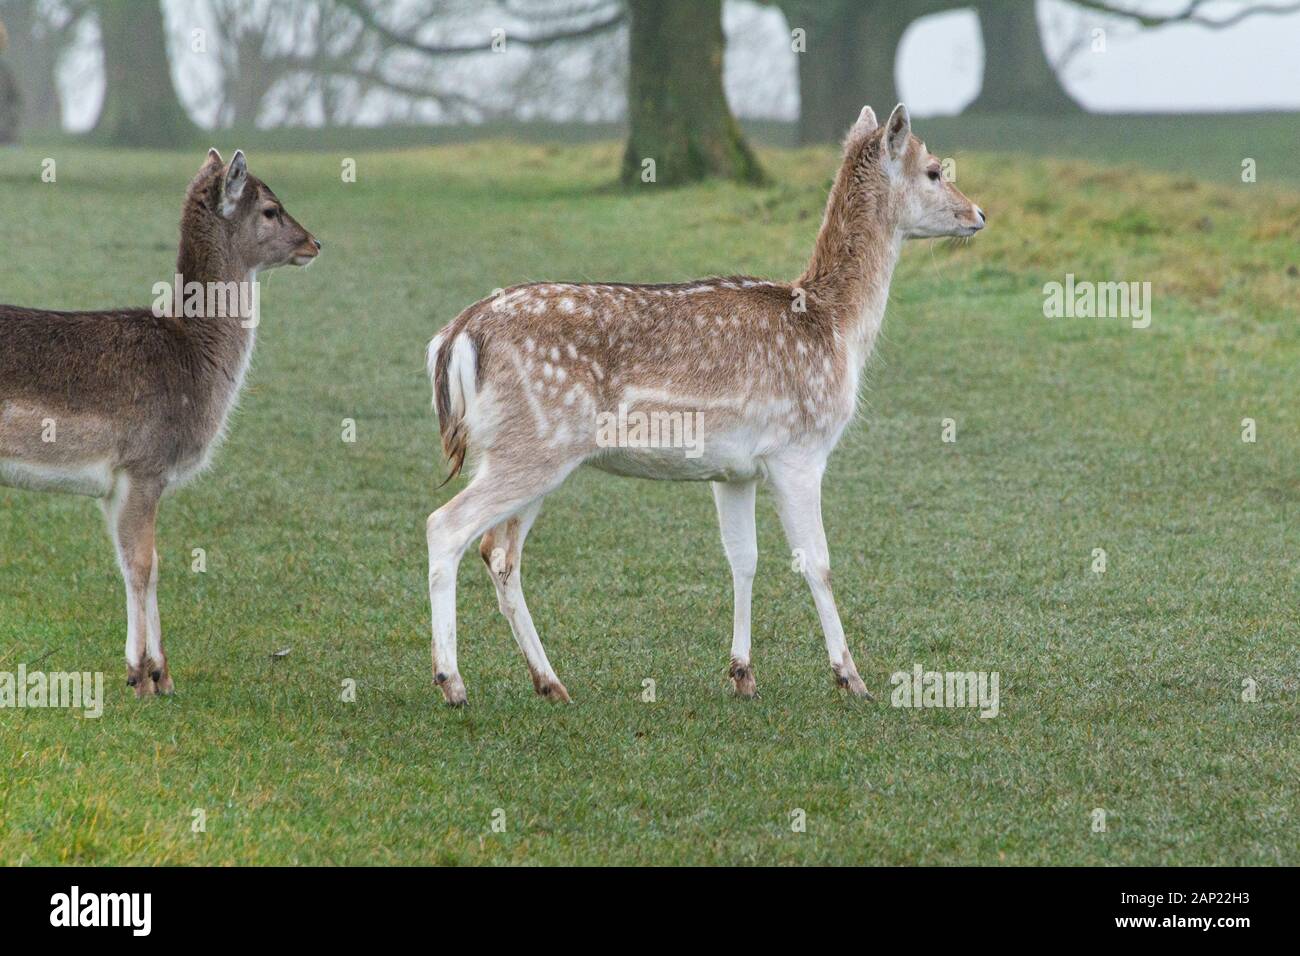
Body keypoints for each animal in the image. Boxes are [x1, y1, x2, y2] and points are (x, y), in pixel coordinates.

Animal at [0, 149, 320, 697]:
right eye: (271, 209)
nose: (314, 243)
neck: (193, 357)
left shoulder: (114, 486)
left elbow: (142, 562)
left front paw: (160, 675)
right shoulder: (143, 466)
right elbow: (143, 564)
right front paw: (143, 676)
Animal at [425, 104, 985, 706]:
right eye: (934, 170)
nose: (979, 213)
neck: (834, 327)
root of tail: (455, 337)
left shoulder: (732, 470)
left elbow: (744, 558)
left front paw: (742, 673)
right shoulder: (799, 450)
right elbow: (818, 563)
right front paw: (850, 676)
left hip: (519, 450)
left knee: (498, 553)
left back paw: (551, 683)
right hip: (533, 445)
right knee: (446, 526)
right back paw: (452, 682)